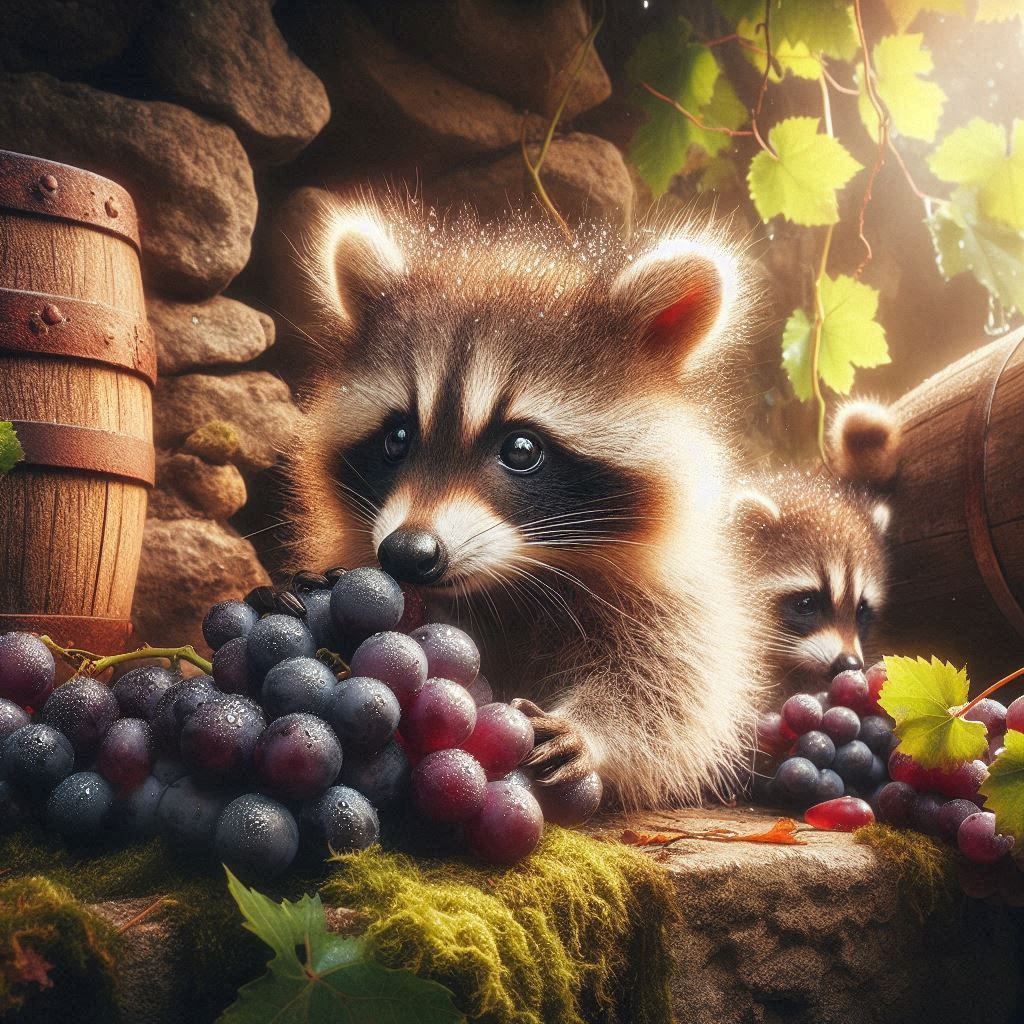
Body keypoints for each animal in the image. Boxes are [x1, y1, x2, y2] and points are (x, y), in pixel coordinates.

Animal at [287, 198, 767, 810]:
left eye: (521, 449)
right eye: (397, 438)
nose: (407, 553)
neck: (512, 579)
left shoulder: (677, 589)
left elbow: (674, 683)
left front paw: (596, 729)